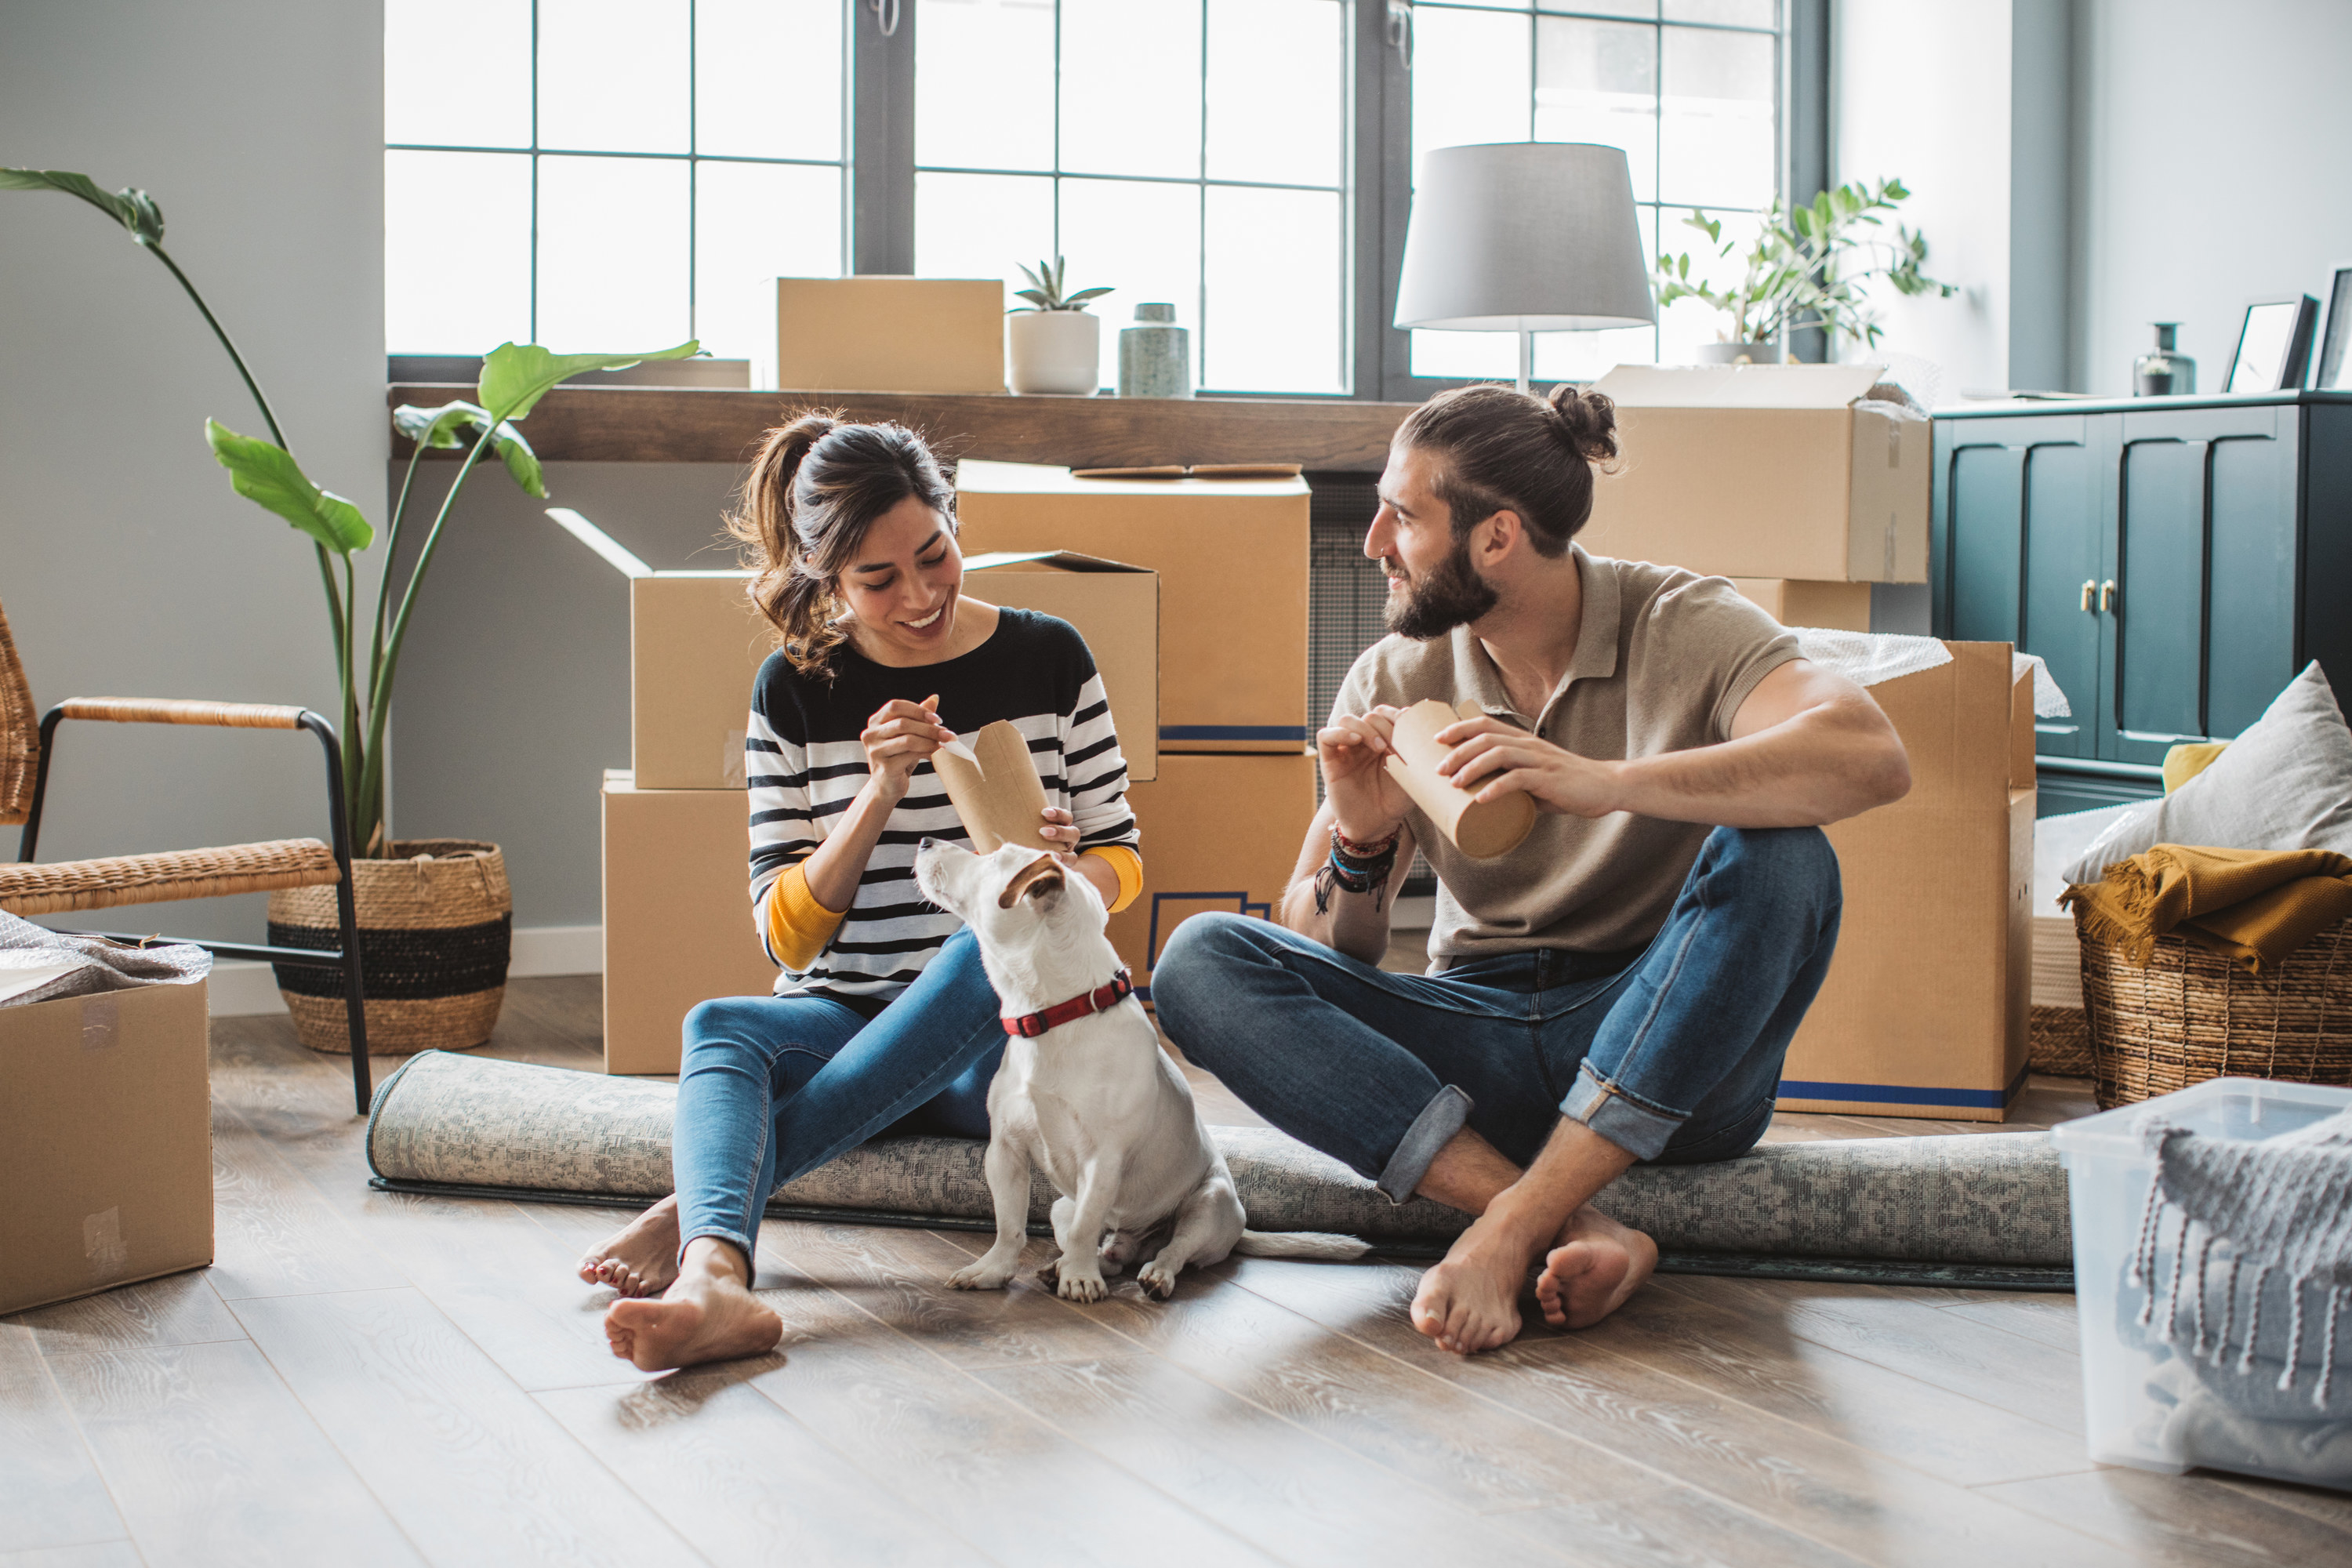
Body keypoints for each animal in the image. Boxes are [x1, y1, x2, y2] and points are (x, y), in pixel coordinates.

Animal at [908, 841, 1374, 1307]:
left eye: (992, 857)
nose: (926, 843)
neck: (1055, 1017)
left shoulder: (1102, 1159)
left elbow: (1085, 1228)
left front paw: (1080, 1279)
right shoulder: (1004, 1150)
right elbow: (1010, 1226)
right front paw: (992, 1271)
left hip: (1211, 1202)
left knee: (1174, 1251)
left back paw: (1153, 1274)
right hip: (1062, 1206)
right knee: (1105, 1252)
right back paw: (1072, 1265)